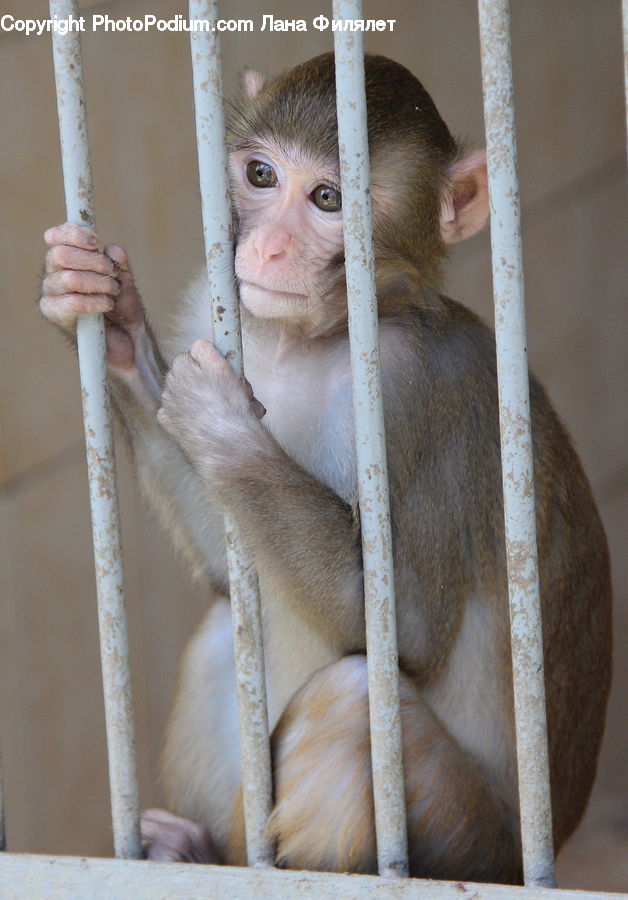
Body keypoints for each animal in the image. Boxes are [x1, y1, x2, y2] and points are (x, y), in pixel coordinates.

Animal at [39, 54, 612, 883]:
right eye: (260, 175)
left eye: (328, 199)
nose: (268, 250)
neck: (308, 341)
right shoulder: (210, 309)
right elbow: (230, 577)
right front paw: (106, 313)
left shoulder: (421, 389)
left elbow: (403, 628)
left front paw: (223, 424)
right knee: (227, 631)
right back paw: (194, 852)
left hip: (473, 845)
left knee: (350, 705)